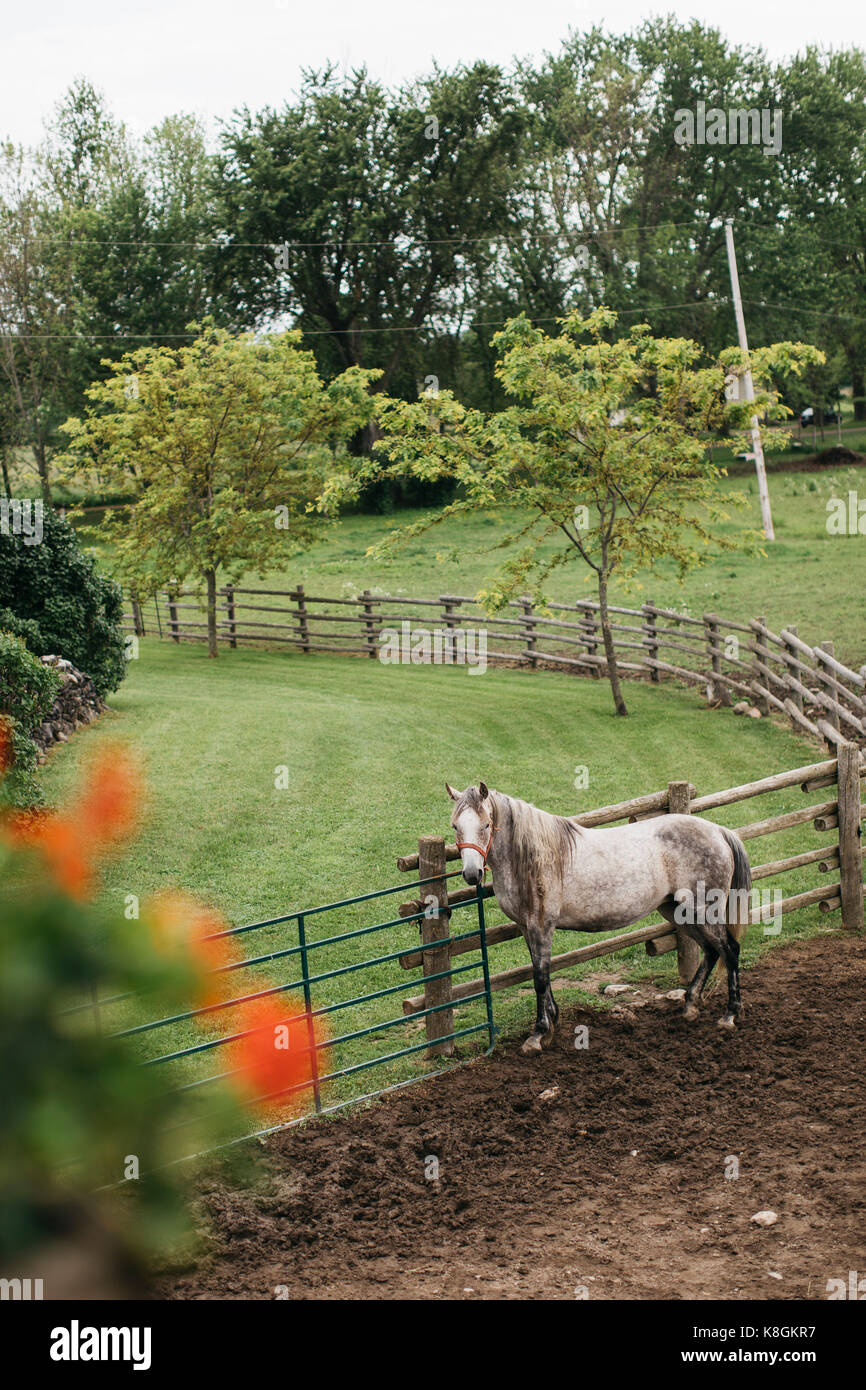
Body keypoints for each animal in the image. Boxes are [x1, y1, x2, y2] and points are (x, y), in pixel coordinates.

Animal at [447, 783, 750, 1050]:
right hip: (679, 911)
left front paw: (538, 1035)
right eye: (455, 826)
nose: (472, 873)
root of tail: (719, 831)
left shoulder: (541, 925)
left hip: (703, 910)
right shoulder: (525, 927)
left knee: (729, 949)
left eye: (486, 825)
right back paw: (690, 1005)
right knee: (711, 950)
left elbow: (540, 977)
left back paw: (729, 1015)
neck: (534, 857)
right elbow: (540, 971)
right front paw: (552, 1022)